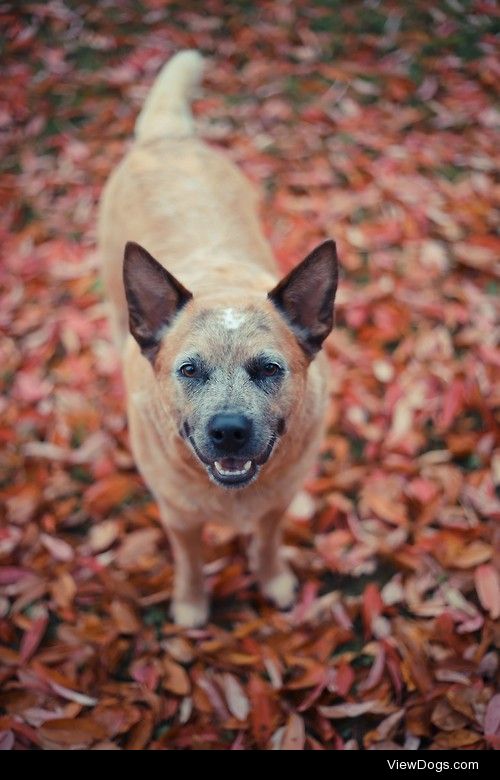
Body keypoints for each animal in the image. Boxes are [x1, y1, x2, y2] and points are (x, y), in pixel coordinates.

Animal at [98, 50, 340, 628]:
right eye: (189, 370)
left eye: (269, 368)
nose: (229, 431)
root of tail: (167, 136)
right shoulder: (178, 518)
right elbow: (189, 560)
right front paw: (190, 606)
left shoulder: (276, 504)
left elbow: (269, 541)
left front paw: (274, 581)